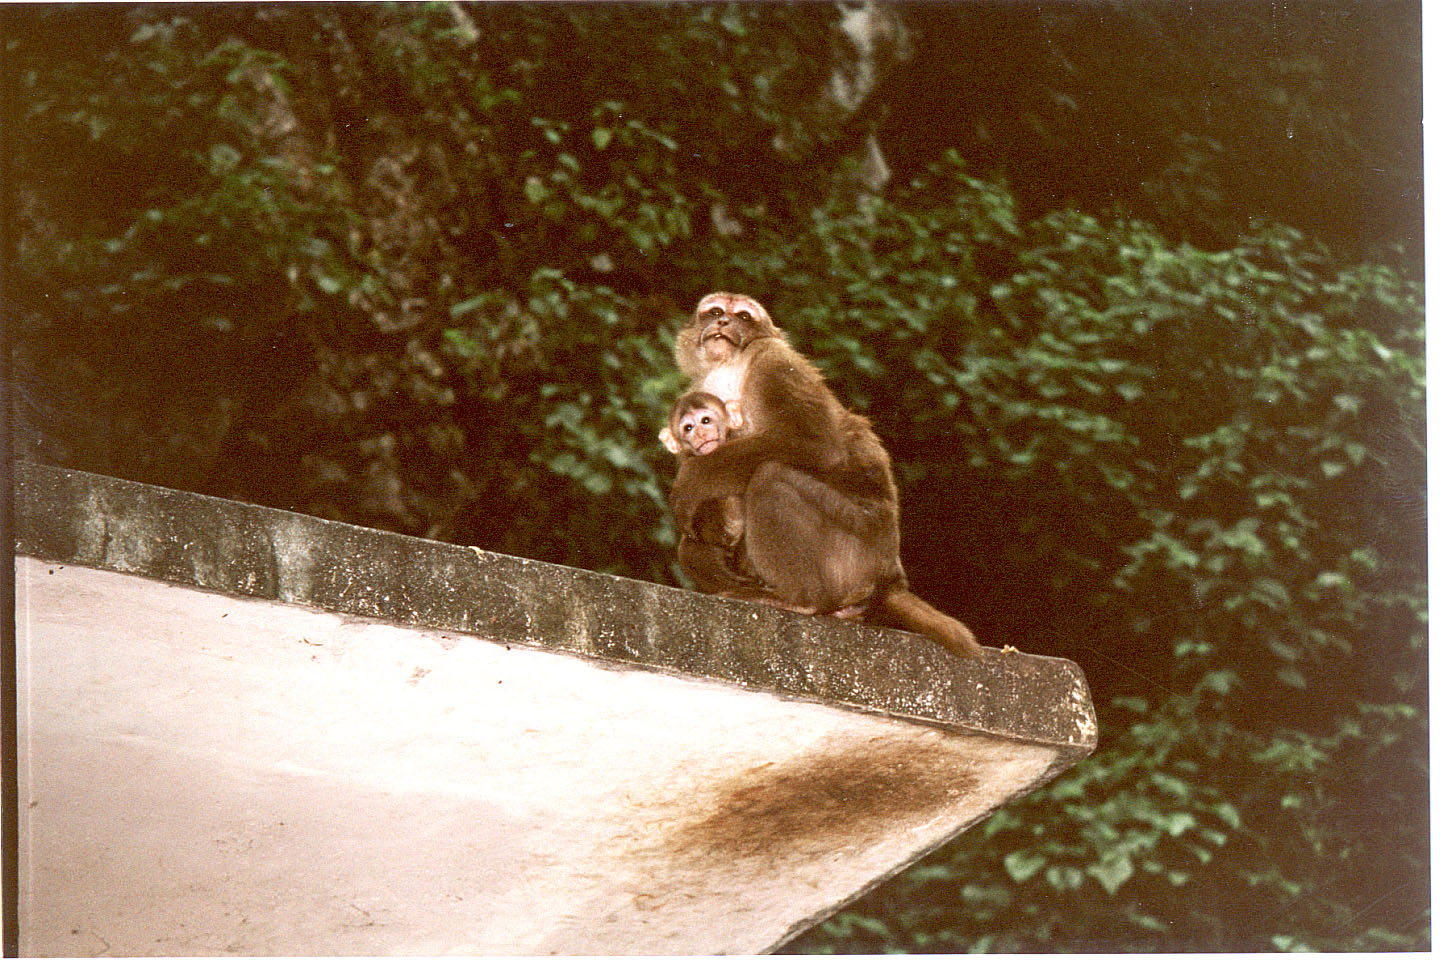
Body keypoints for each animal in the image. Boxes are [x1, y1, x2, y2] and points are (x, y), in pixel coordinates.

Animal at [668, 289, 984, 656]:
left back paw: (801, 600)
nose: (723, 323)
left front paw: (691, 483)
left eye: (743, 317)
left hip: (853, 555)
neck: (728, 366)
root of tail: (890, 577)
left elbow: (813, 442)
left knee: (773, 478)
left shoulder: (774, 362)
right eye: (715, 312)